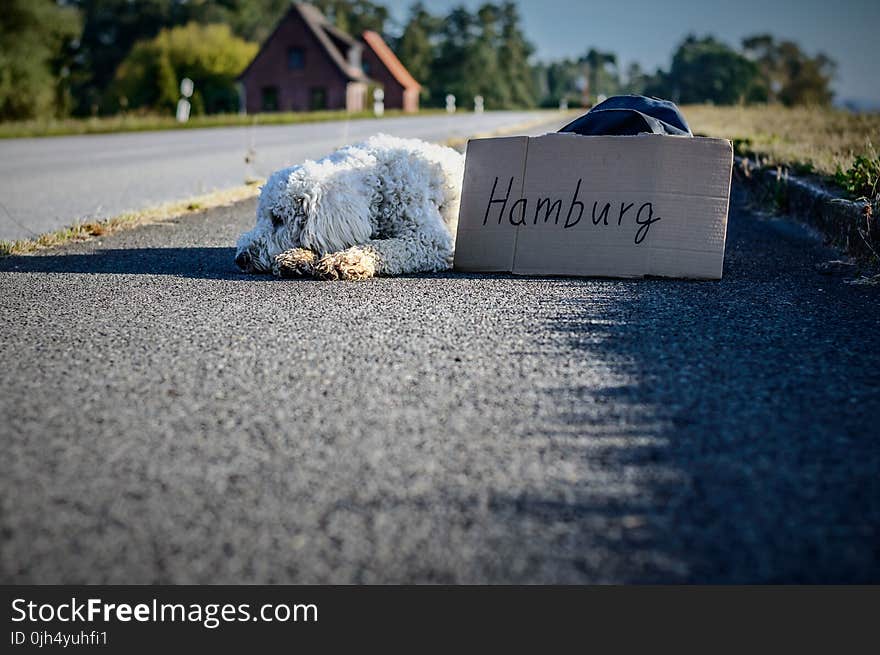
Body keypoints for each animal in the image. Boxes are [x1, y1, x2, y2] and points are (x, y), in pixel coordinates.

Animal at [234, 135, 468, 280]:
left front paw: (345, 260)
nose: (241, 259)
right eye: (259, 218)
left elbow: (382, 246)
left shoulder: (432, 241)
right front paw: (297, 257)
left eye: (278, 219)